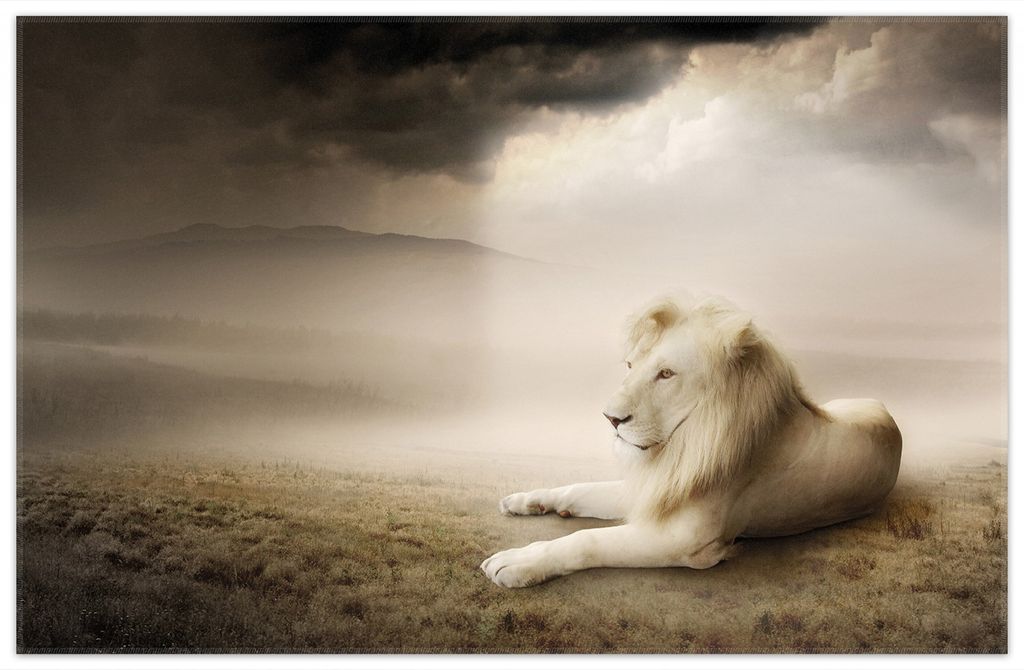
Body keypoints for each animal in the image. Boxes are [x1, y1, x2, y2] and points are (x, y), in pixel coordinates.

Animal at [481, 296, 902, 587]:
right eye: (631, 366)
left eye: (667, 374)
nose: (610, 418)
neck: (681, 447)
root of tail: (886, 410)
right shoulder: (656, 489)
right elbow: (581, 488)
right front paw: (528, 500)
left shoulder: (687, 541)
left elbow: (588, 540)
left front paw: (517, 562)